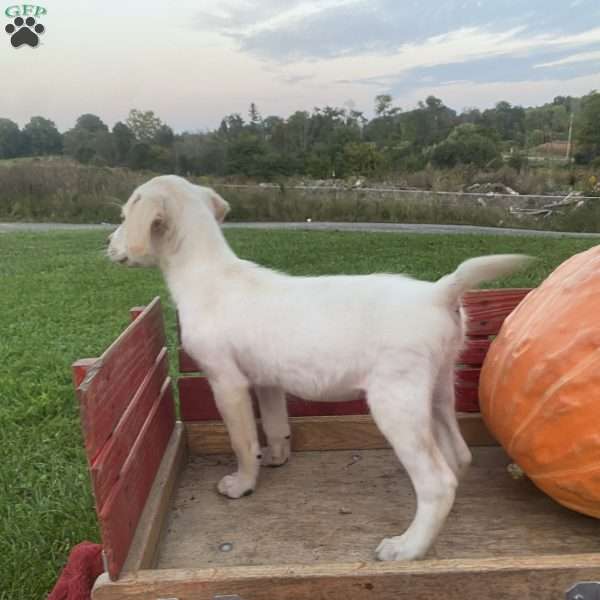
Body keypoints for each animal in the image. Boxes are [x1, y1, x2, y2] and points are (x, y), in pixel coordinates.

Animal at [108, 175, 528, 564]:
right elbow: (275, 426)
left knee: (437, 482)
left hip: (395, 403)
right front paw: (276, 457)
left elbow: (243, 442)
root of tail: (438, 292)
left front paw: (242, 484)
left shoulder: (227, 383)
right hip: (439, 389)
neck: (208, 275)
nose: (108, 245)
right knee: (458, 456)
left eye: (125, 216)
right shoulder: (267, 381)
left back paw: (407, 547)